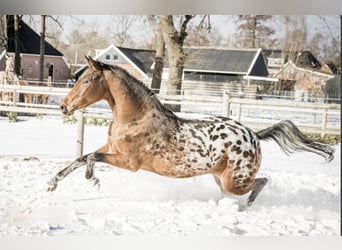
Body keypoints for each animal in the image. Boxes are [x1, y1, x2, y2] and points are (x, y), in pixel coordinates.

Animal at [47, 56, 334, 209]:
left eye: (86, 80)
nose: (63, 106)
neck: (134, 118)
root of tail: (254, 135)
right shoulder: (112, 149)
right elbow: (81, 157)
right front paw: (52, 183)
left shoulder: (129, 162)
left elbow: (90, 159)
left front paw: (92, 179)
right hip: (221, 178)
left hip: (235, 180)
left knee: (262, 182)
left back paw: (245, 207)